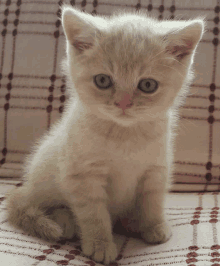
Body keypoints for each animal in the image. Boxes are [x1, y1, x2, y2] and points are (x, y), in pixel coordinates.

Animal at [5, 5, 205, 264]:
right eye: (103, 80)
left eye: (148, 85)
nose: (123, 103)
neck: (125, 135)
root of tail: (25, 188)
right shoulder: (82, 175)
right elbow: (94, 214)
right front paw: (100, 244)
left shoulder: (156, 169)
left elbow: (152, 201)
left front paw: (153, 225)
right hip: (45, 176)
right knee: (39, 205)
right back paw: (65, 222)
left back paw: (132, 221)